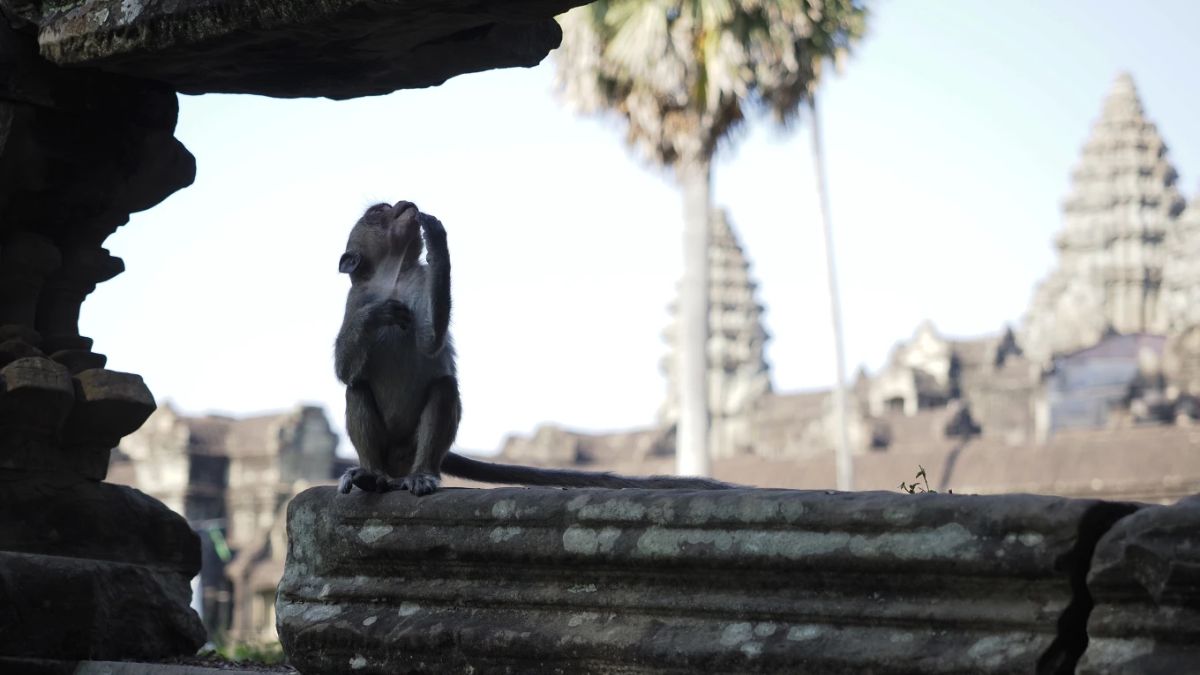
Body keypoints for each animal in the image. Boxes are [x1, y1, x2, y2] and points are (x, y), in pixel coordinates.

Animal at [334, 200, 735, 496]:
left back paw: (421, 475)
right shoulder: (357, 299)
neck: (394, 278)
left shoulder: (416, 282)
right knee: (357, 389)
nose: (404, 204)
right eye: (378, 211)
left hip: (413, 448)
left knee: (443, 388)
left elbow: (430, 342)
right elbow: (345, 369)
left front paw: (437, 241)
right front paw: (377, 315)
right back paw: (371, 475)